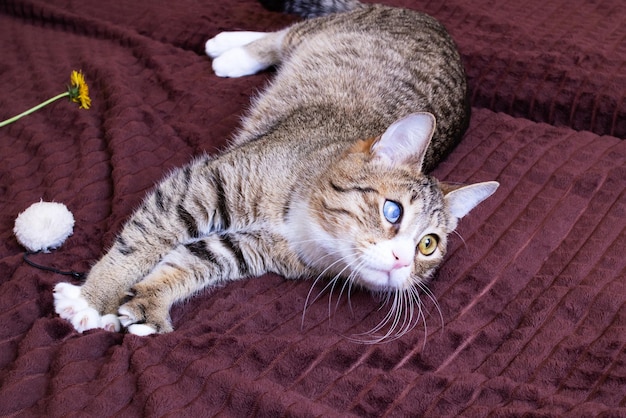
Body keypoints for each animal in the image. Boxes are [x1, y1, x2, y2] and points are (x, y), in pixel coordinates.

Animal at [52, 0, 498, 340]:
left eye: (429, 245)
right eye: (393, 211)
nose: (403, 260)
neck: (306, 223)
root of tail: (427, 18)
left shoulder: (247, 249)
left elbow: (193, 260)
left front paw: (150, 301)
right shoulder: (201, 184)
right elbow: (144, 240)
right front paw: (94, 299)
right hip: (321, 33)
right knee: (287, 33)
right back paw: (232, 50)